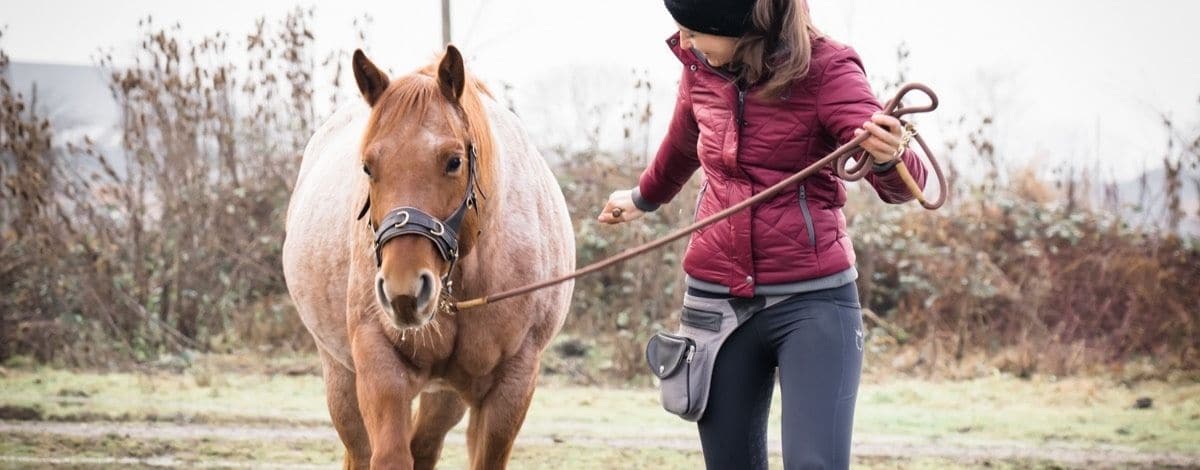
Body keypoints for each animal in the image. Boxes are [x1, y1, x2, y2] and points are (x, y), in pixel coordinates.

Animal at [285, 44, 576, 470]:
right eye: (368, 167)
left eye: (454, 161)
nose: (403, 291)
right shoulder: (380, 368)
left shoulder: (511, 385)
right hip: (341, 377)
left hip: (447, 395)